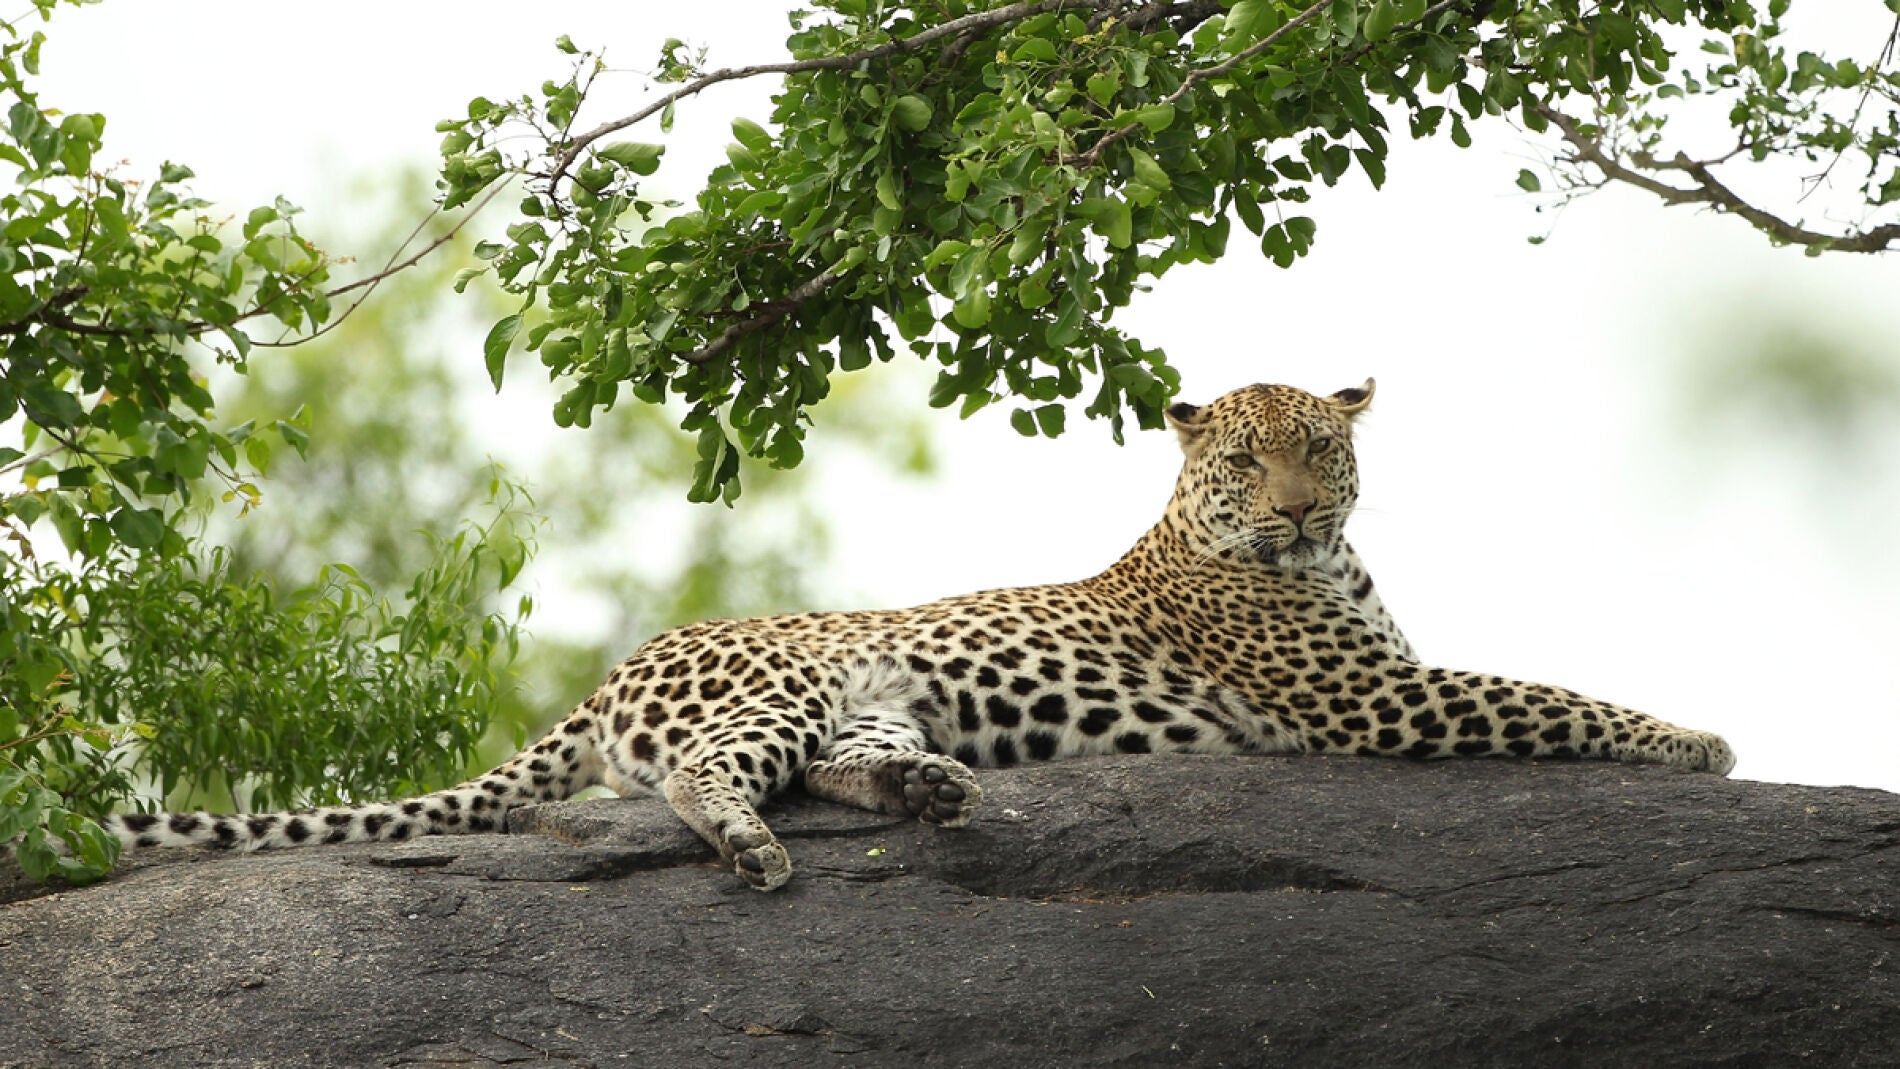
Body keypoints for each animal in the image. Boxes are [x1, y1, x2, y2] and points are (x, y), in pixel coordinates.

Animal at [101, 379, 1735, 891]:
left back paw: (933, 791)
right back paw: (755, 849)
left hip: (874, 699)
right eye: (1243, 461)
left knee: (840, 767)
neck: (1324, 565)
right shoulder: (1370, 704)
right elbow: (1545, 692)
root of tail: (621, 664)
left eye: (1320, 456)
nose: (1289, 512)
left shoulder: (1383, 682)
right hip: (773, 689)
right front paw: (1696, 738)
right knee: (701, 778)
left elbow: (1532, 682)